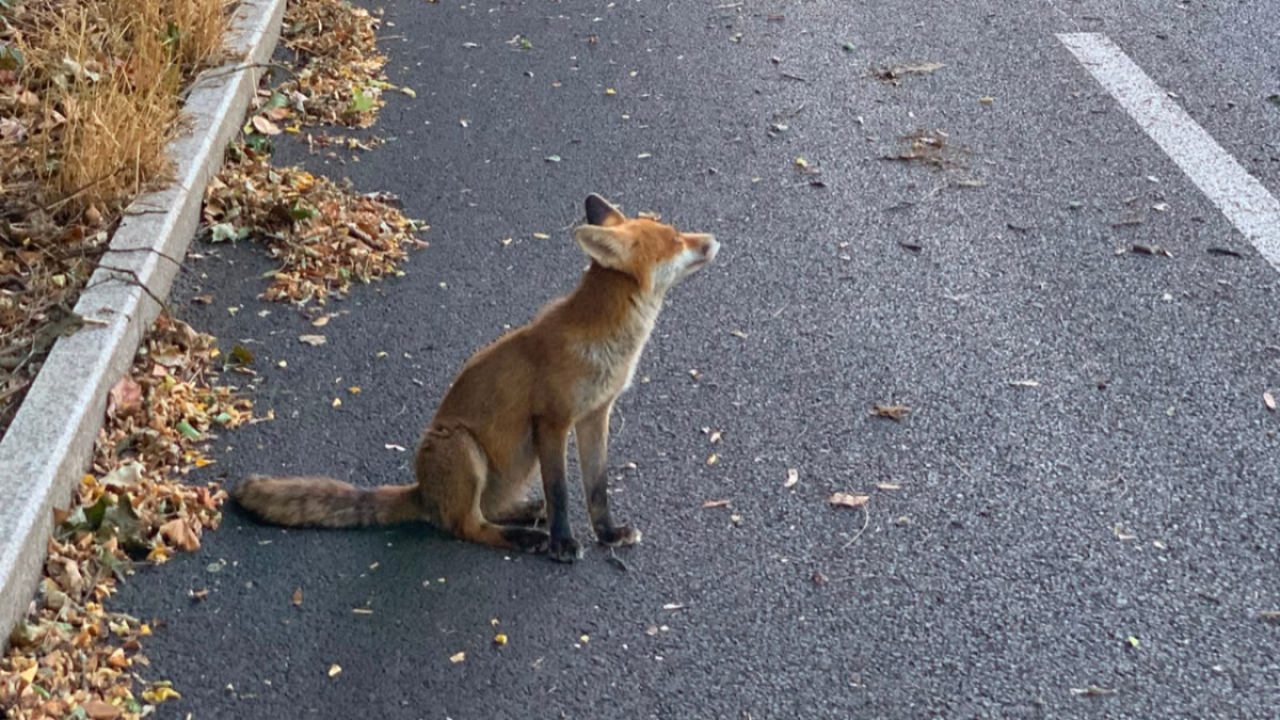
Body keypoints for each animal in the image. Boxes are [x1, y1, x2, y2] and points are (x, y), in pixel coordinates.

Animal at [234, 194, 719, 562]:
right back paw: (527, 538)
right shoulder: (552, 421)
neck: (605, 345)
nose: (713, 238)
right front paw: (563, 544)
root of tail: (423, 491)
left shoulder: (595, 415)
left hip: (511, 467)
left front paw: (609, 533)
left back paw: (526, 515)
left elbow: (596, 488)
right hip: (463, 447)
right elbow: (562, 491)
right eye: (675, 240)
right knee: (465, 525)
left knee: (487, 510)